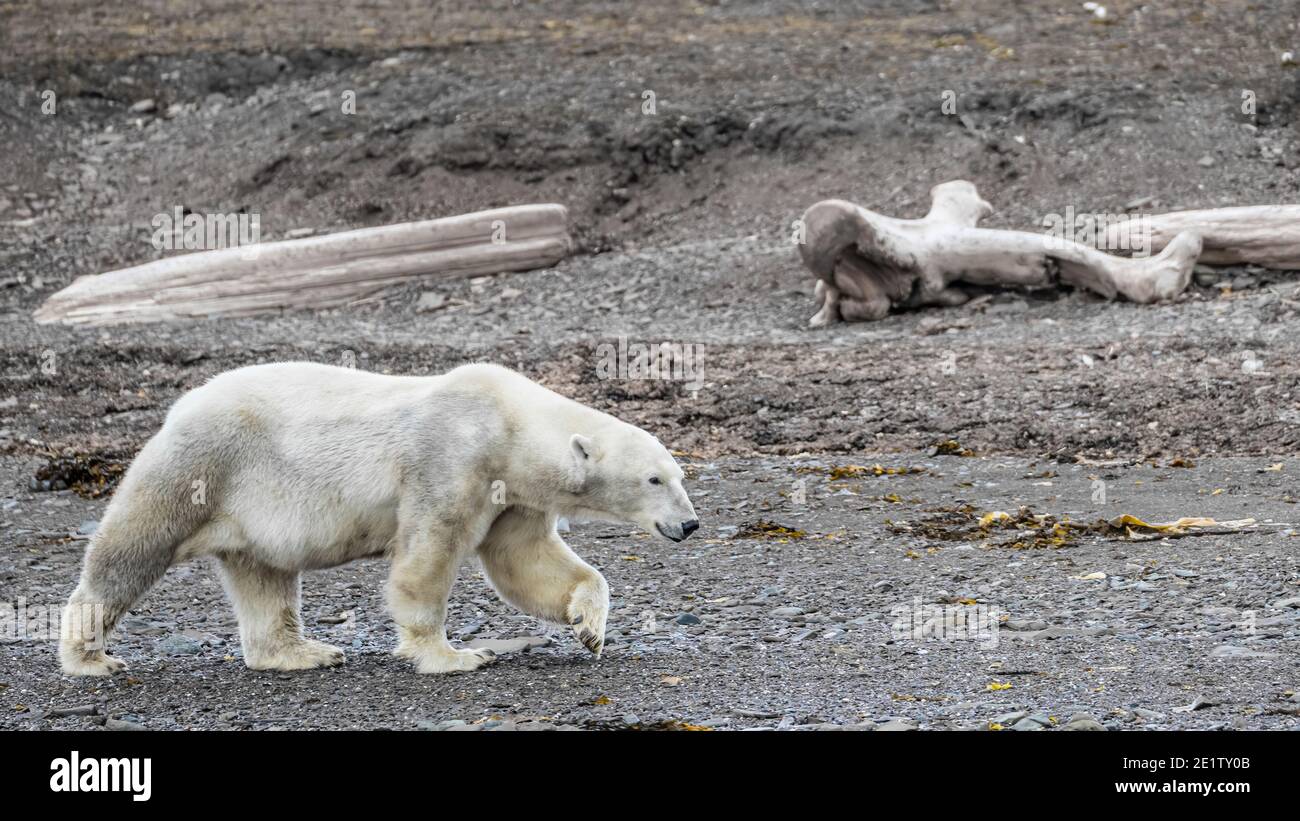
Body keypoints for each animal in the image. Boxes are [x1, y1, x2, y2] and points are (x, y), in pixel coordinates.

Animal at [58, 361, 702, 675]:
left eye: (680, 475)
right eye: (654, 479)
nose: (690, 524)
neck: (509, 425)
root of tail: (178, 407)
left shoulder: (512, 495)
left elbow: (525, 563)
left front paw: (588, 626)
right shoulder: (450, 460)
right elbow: (428, 558)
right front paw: (453, 657)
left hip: (249, 507)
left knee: (264, 576)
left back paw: (304, 653)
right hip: (203, 466)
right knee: (133, 547)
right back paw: (90, 657)